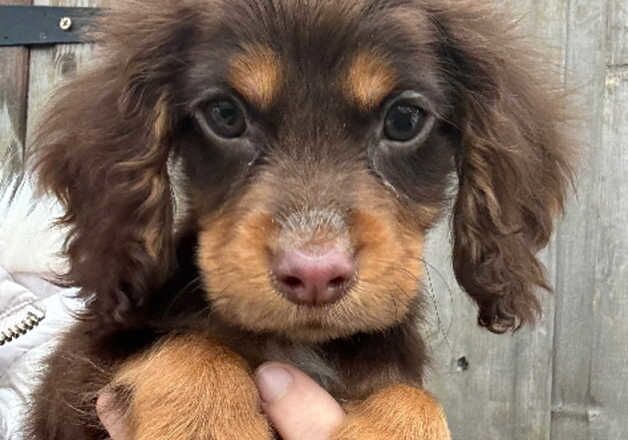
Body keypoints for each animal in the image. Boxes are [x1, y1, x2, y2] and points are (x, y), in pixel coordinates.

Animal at [24, 0, 576, 440]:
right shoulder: (73, 378)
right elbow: (191, 347)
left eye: (405, 119)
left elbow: (414, 398)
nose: (314, 276)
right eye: (224, 114)